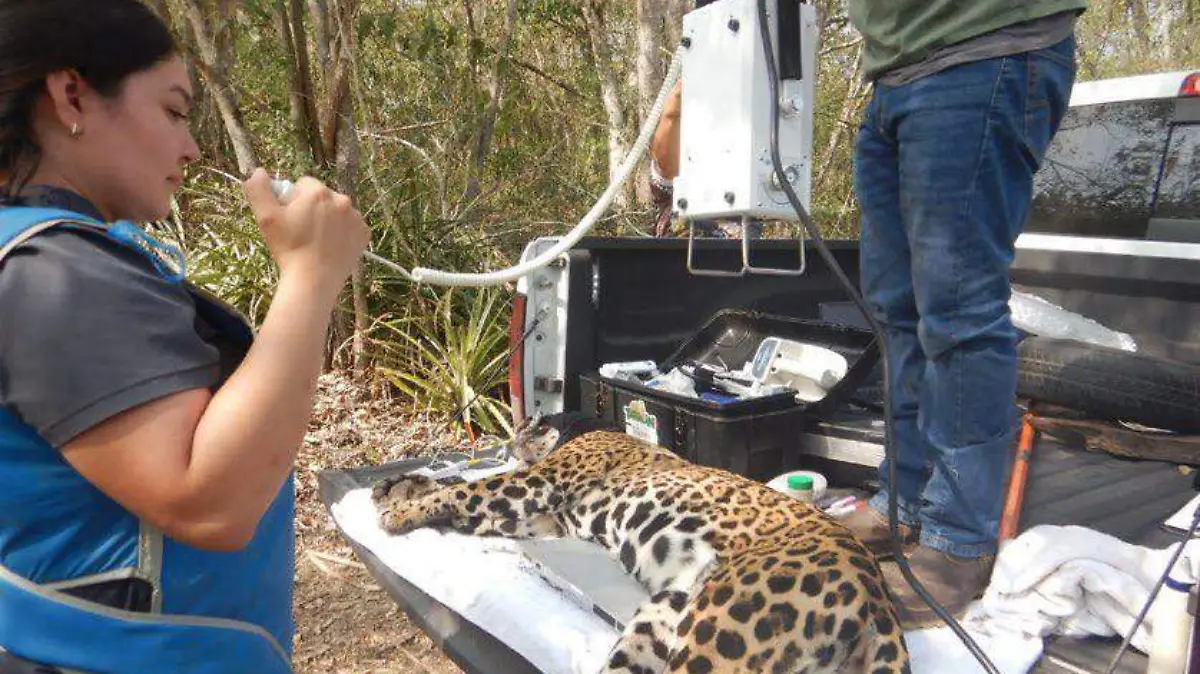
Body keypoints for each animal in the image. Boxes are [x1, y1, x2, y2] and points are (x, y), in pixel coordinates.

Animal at [371, 413, 910, 674]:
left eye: (532, 423)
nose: (508, 441)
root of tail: (878, 598)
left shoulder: (537, 486)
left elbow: (471, 488)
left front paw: (397, 510)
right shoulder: (543, 521)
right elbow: (462, 492)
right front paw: (397, 487)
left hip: (718, 639)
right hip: (662, 617)